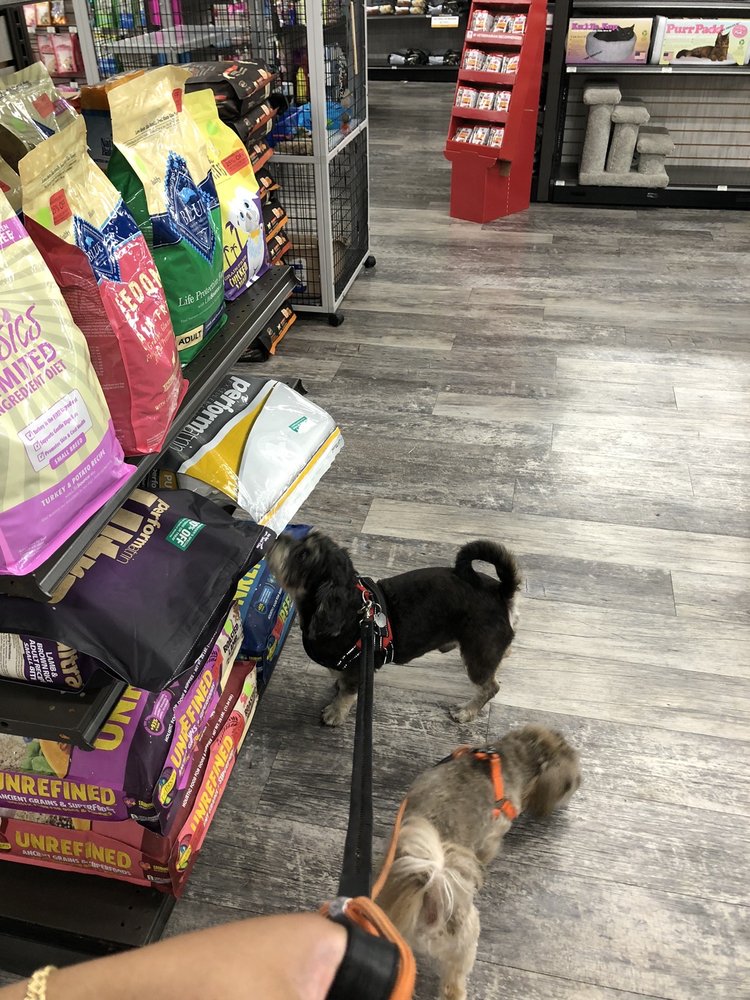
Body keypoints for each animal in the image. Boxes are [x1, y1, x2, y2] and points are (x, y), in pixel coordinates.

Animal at [266, 531, 521, 726]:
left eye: (302, 555)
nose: (278, 536)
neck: (352, 610)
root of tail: (501, 591)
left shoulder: (357, 671)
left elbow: (346, 695)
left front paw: (335, 713)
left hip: (477, 657)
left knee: (491, 687)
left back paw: (467, 711)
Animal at [376, 726, 581, 1000]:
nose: (577, 784)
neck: (506, 759)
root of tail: (430, 894)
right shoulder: (494, 834)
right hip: (466, 942)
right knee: (453, 983)